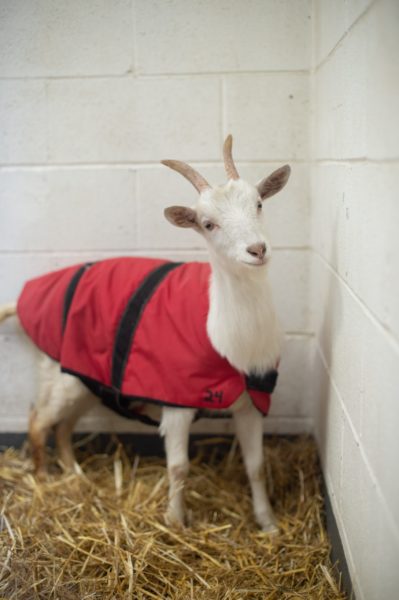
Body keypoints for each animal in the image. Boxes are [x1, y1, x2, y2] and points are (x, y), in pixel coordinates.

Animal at [0, 138, 290, 532]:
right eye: (208, 224)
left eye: (259, 203)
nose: (257, 250)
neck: (228, 339)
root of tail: (28, 295)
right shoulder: (176, 402)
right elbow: (179, 467)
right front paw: (175, 523)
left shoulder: (250, 402)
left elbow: (257, 466)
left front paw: (268, 524)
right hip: (60, 374)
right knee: (39, 420)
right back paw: (45, 479)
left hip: (87, 376)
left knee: (65, 425)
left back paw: (74, 473)